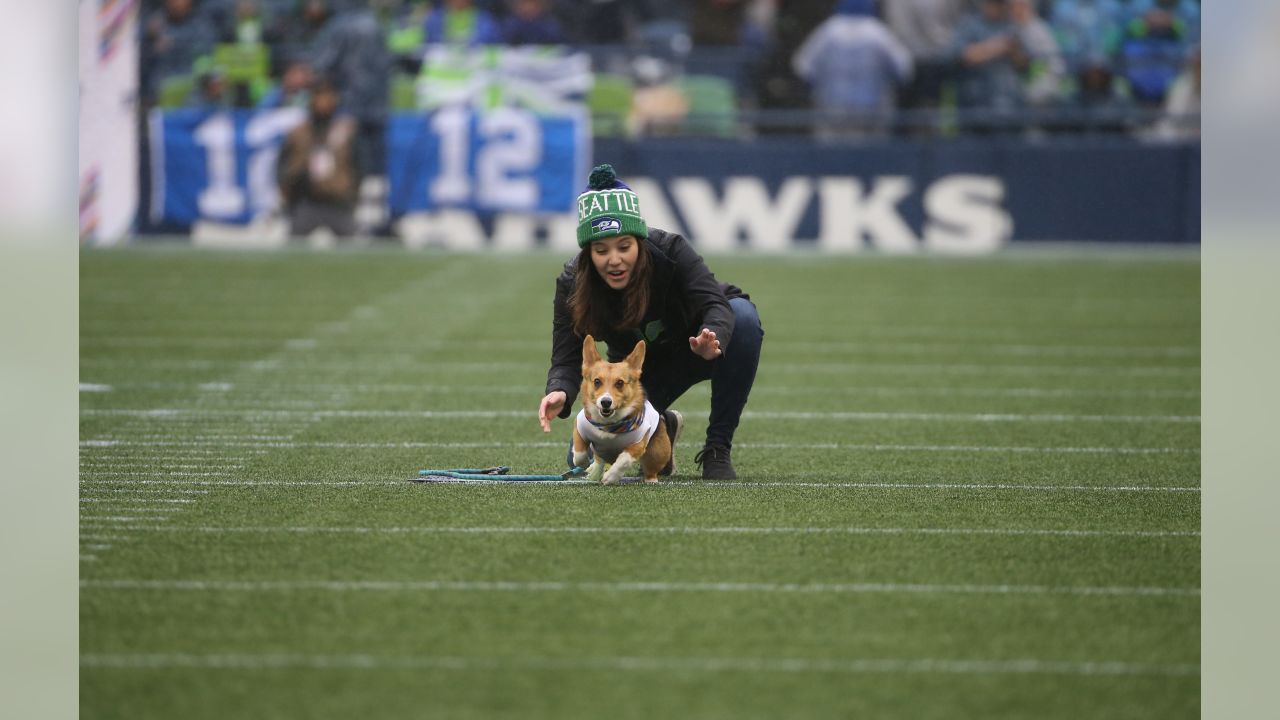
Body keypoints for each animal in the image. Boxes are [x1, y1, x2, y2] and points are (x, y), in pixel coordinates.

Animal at [570, 335, 670, 481]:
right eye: (597, 381)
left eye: (620, 383)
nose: (606, 402)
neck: (609, 425)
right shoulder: (580, 428)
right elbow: (579, 454)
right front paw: (584, 465)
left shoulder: (638, 444)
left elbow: (624, 460)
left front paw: (610, 477)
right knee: (599, 459)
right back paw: (594, 471)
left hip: (657, 452)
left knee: (650, 469)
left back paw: (651, 480)